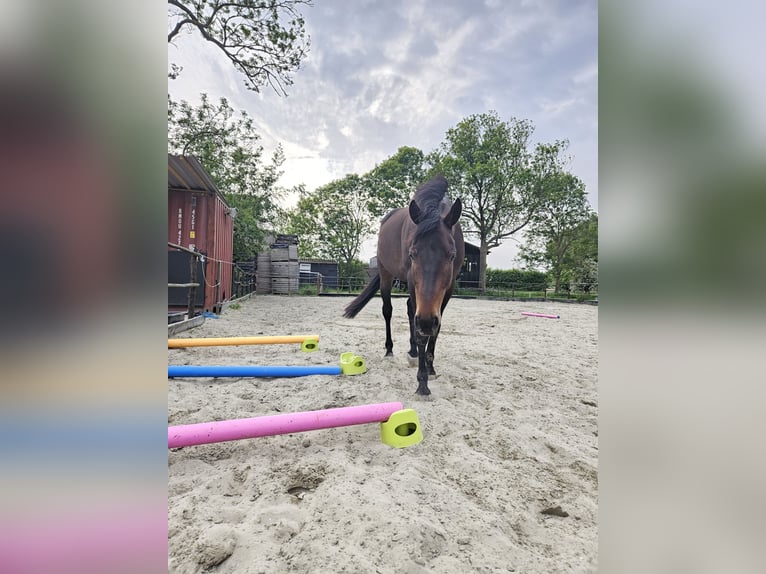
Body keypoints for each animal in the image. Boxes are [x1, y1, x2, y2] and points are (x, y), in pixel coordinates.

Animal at [344, 175, 465, 396]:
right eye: (412, 254)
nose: (426, 321)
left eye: (451, 255)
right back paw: (390, 349)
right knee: (388, 311)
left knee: (410, 311)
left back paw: (414, 351)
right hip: (386, 275)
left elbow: (435, 330)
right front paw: (422, 381)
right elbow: (420, 333)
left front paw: (430, 367)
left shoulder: (448, 290)